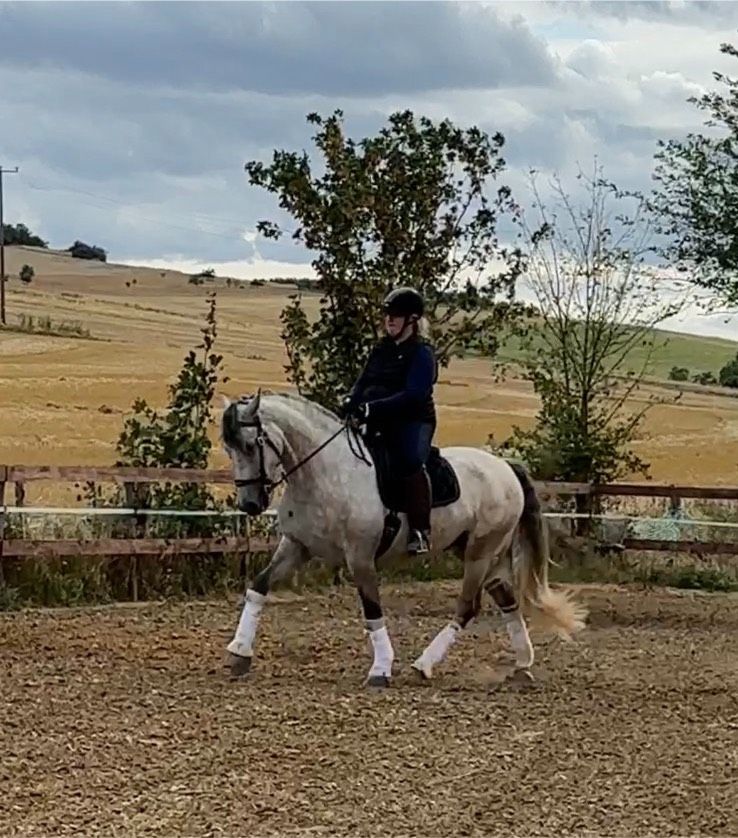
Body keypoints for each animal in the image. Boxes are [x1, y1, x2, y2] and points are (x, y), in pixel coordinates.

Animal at [218, 394, 588, 688]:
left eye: (250, 445)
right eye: (229, 448)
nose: (249, 505)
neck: (325, 473)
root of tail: (506, 467)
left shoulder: (360, 557)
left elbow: (372, 609)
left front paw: (381, 669)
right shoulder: (296, 546)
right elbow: (258, 586)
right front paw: (240, 653)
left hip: (479, 555)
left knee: (467, 607)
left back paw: (423, 665)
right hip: (483, 554)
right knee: (507, 599)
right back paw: (523, 665)